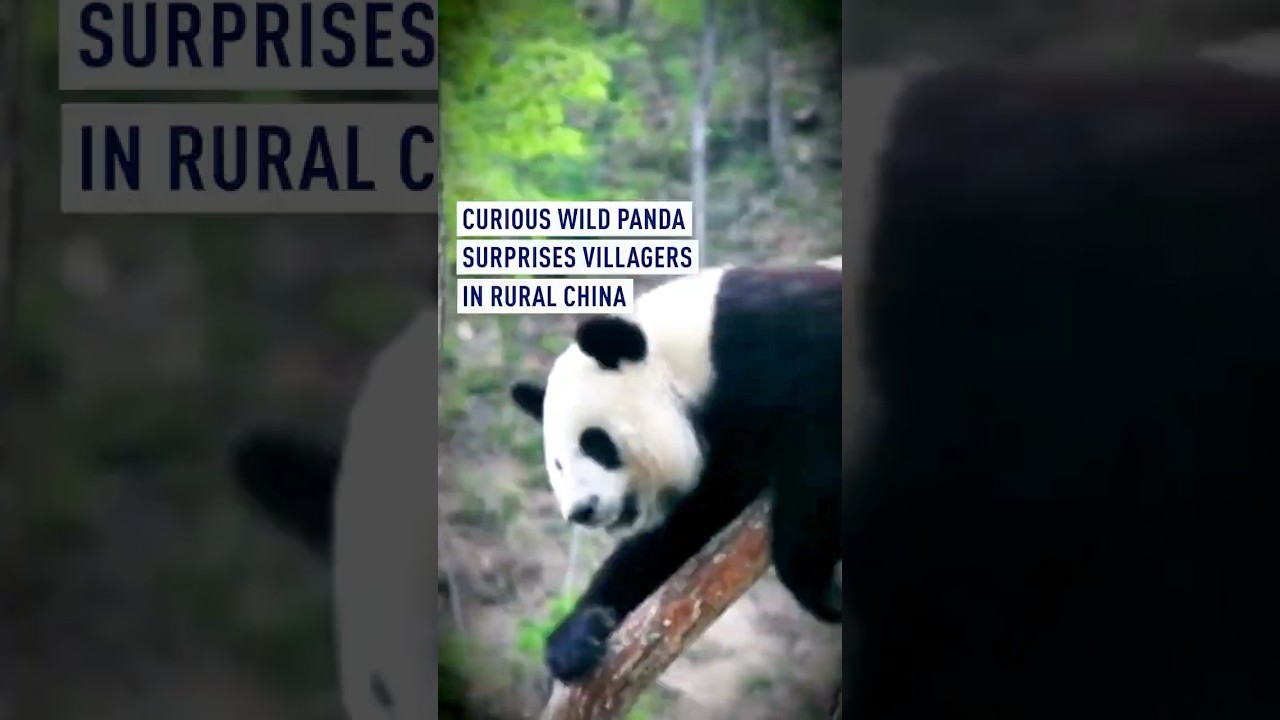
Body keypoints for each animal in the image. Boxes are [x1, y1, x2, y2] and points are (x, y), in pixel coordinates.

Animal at [508, 257, 842, 683]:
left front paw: (814, 580)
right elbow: (679, 531)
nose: (582, 510)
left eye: (594, 443)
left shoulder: (779, 346)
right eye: (558, 465)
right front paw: (575, 637)